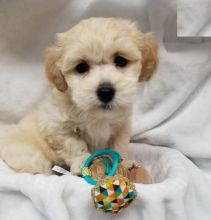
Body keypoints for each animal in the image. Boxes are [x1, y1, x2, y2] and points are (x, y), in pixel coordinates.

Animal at [0, 17, 157, 175]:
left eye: (121, 61)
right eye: (81, 67)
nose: (105, 92)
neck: (97, 115)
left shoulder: (121, 125)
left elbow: (118, 145)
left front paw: (123, 164)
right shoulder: (55, 126)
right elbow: (73, 144)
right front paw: (82, 161)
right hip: (28, 156)